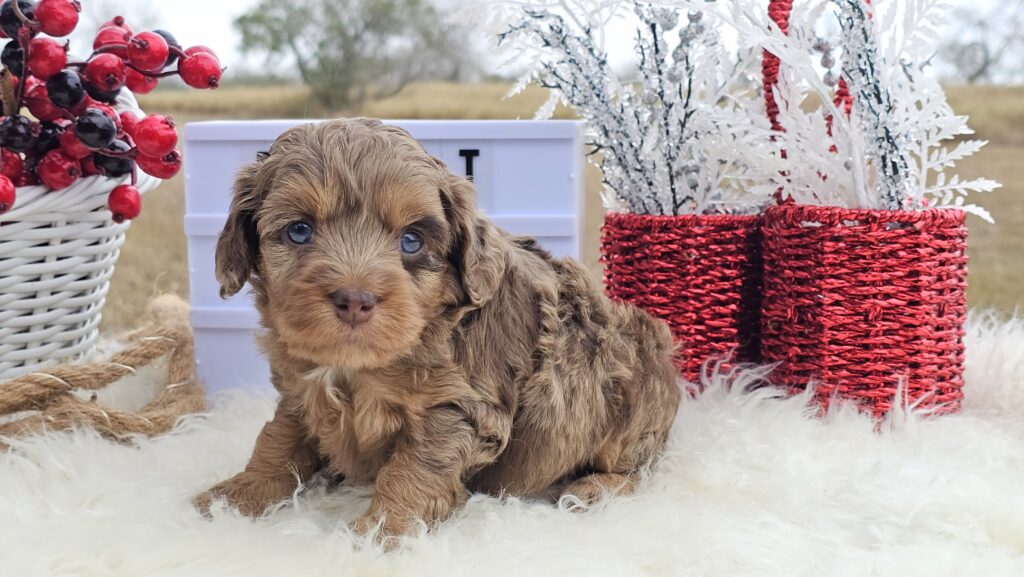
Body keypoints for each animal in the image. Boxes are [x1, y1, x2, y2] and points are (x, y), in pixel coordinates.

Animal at [195, 119, 684, 541]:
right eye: (299, 230)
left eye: (411, 240)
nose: (355, 299)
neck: (358, 364)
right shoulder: (300, 390)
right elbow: (278, 440)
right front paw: (236, 496)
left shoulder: (459, 405)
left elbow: (414, 468)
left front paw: (382, 532)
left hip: (636, 394)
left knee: (636, 467)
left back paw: (592, 489)